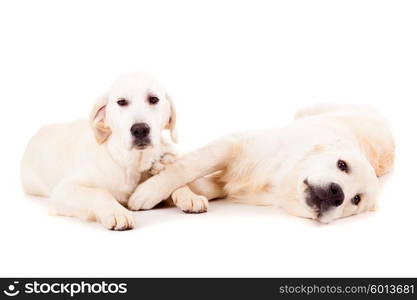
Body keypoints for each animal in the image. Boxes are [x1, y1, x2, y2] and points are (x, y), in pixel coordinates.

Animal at [127, 104, 394, 224]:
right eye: (342, 165)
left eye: (355, 200)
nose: (336, 193)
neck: (281, 178)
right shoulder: (234, 145)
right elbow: (190, 166)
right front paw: (150, 190)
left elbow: (207, 185)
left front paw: (182, 194)